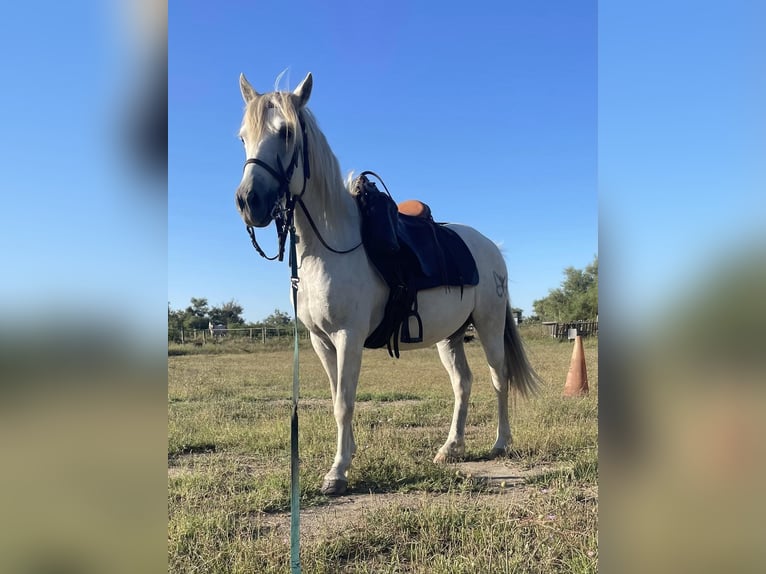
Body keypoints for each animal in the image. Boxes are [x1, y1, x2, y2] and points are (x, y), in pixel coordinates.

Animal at [234, 71, 540, 496]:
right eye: (242, 137)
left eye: (286, 132)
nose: (249, 202)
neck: (331, 246)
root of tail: (491, 248)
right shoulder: (320, 341)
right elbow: (337, 397)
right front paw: (346, 456)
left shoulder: (348, 336)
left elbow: (344, 402)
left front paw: (337, 473)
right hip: (450, 336)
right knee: (463, 383)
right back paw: (451, 448)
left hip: (490, 326)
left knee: (499, 377)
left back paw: (500, 443)